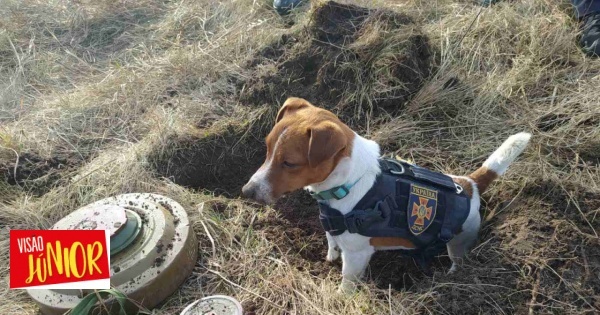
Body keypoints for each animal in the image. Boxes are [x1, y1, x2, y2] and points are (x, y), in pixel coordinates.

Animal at [241, 97, 532, 294]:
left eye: (289, 163)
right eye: (267, 148)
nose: (246, 191)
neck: (349, 182)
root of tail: (470, 184)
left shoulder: (357, 255)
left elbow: (347, 281)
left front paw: (341, 296)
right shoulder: (333, 228)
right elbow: (331, 242)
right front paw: (330, 257)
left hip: (460, 242)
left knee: (458, 259)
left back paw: (451, 276)